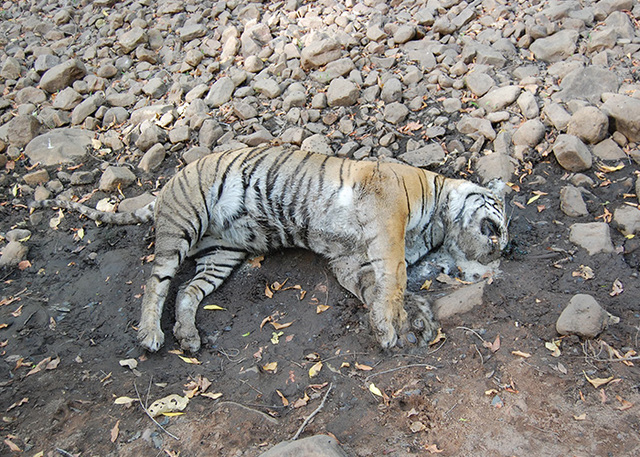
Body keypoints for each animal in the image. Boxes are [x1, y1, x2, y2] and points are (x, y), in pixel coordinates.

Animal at [31, 145, 508, 353]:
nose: (499, 252)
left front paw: (413, 320)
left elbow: (382, 289)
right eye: (497, 224)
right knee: (156, 283)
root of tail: (166, 185)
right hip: (183, 225)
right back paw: (151, 335)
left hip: (221, 255)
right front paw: (391, 329)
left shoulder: (349, 261)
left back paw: (187, 336)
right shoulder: (385, 222)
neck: (437, 225)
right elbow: (394, 280)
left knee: (186, 291)